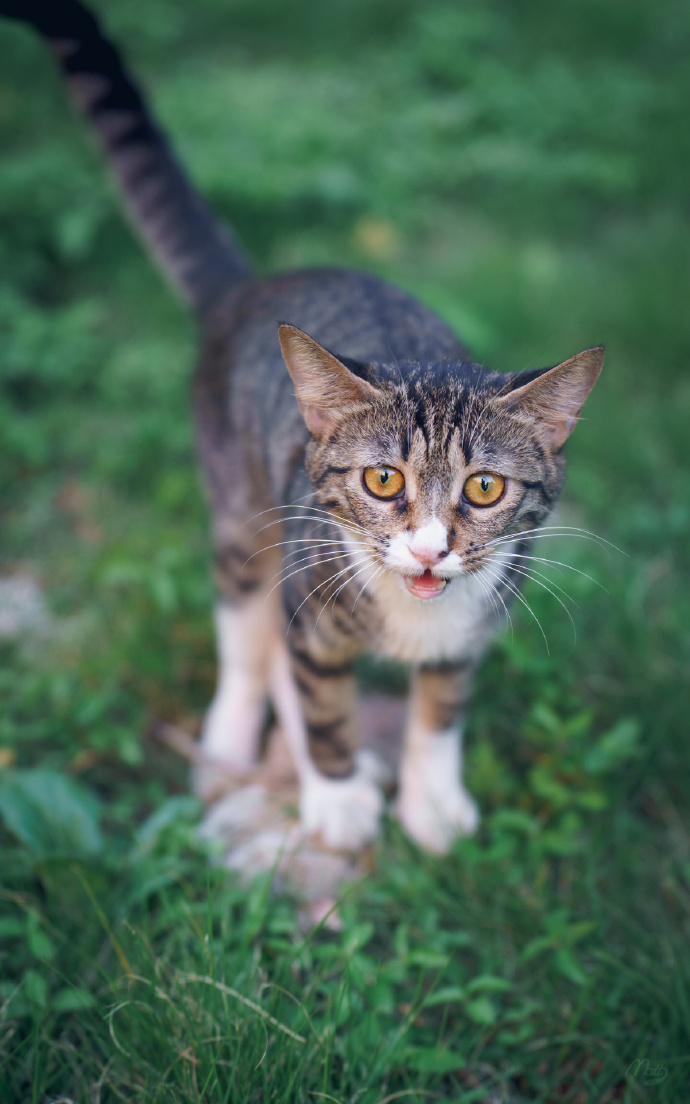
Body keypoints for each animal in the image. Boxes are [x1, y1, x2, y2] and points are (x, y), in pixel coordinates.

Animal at [2, 0, 600, 852]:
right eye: (383, 479)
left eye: (484, 489)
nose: (429, 548)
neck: (410, 619)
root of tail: (248, 290)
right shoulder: (308, 594)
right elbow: (315, 693)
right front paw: (339, 794)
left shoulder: (476, 621)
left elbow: (442, 709)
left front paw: (432, 801)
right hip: (243, 507)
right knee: (247, 636)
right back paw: (228, 745)